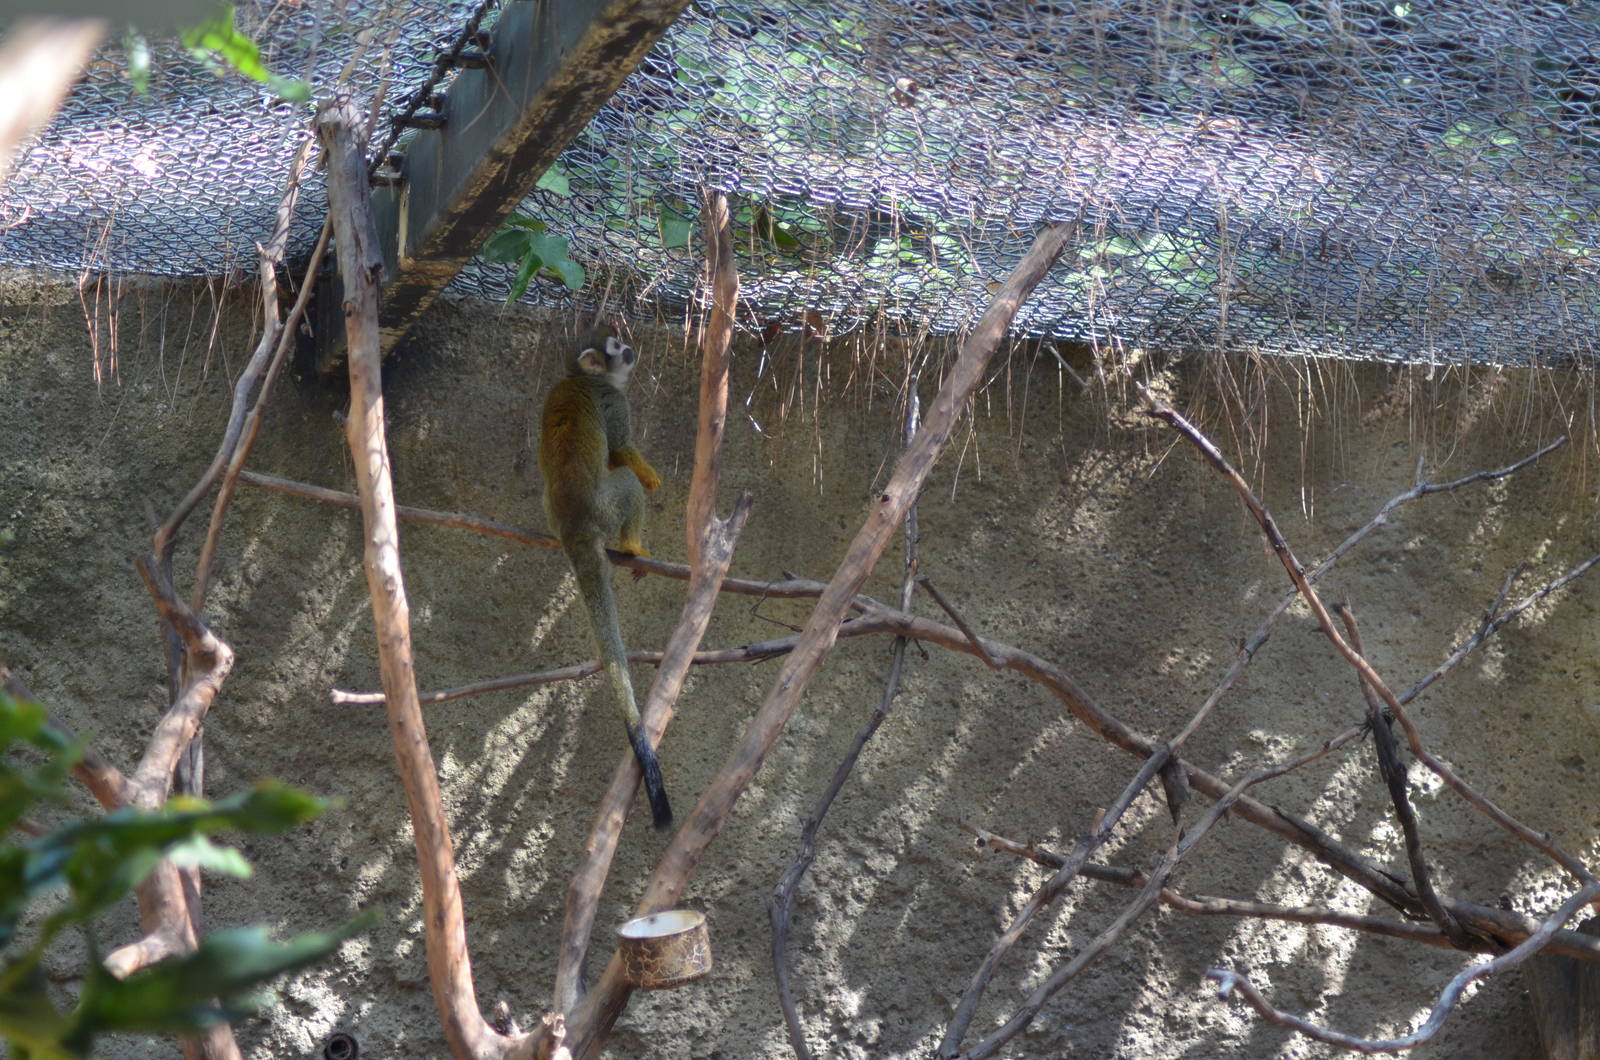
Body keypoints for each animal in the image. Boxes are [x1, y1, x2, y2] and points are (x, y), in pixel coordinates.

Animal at [539, 326, 671, 828]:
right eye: (615, 346)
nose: (630, 347)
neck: (583, 376)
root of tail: (575, 525)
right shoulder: (612, 400)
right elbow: (621, 449)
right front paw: (649, 474)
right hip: (604, 506)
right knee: (624, 486)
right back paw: (632, 546)